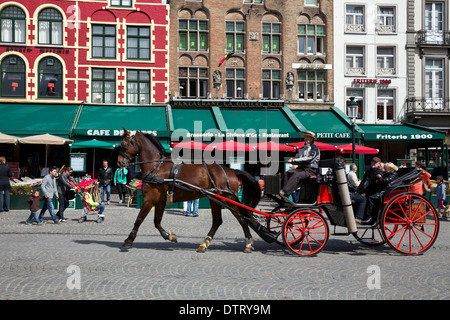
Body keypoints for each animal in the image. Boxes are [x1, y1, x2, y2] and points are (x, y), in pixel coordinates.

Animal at [118, 129, 262, 252]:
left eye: (123, 144)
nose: (119, 163)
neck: (156, 167)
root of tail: (231, 170)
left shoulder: (149, 199)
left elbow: (139, 219)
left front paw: (128, 240)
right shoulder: (160, 201)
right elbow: (157, 222)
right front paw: (169, 236)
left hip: (228, 199)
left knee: (241, 218)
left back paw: (248, 243)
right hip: (215, 199)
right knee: (217, 221)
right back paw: (204, 244)